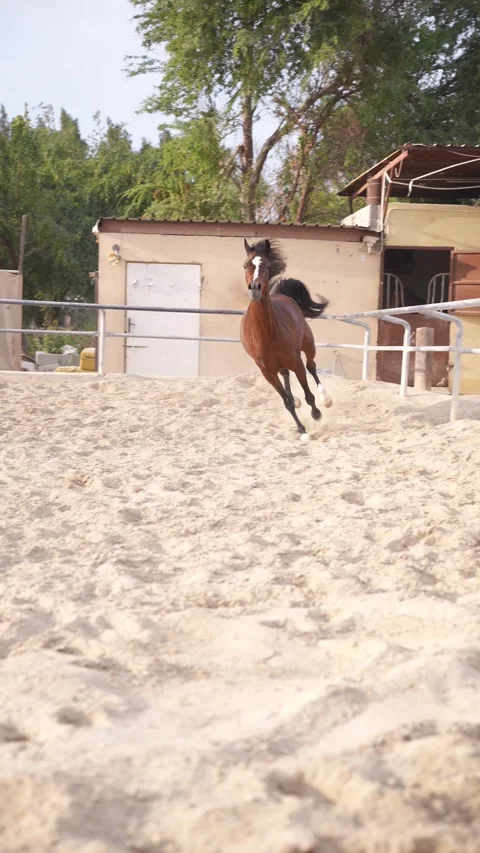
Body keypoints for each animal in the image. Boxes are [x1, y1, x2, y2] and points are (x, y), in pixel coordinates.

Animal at [240, 238, 332, 438]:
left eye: (267, 266)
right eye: (245, 265)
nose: (254, 289)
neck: (266, 332)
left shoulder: (296, 361)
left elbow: (309, 394)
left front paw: (316, 414)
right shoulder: (267, 372)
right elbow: (286, 401)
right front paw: (301, 430)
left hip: (308, 344)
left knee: (312, 366)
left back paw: (326, 399)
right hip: (280, 365)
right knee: (286, 376)